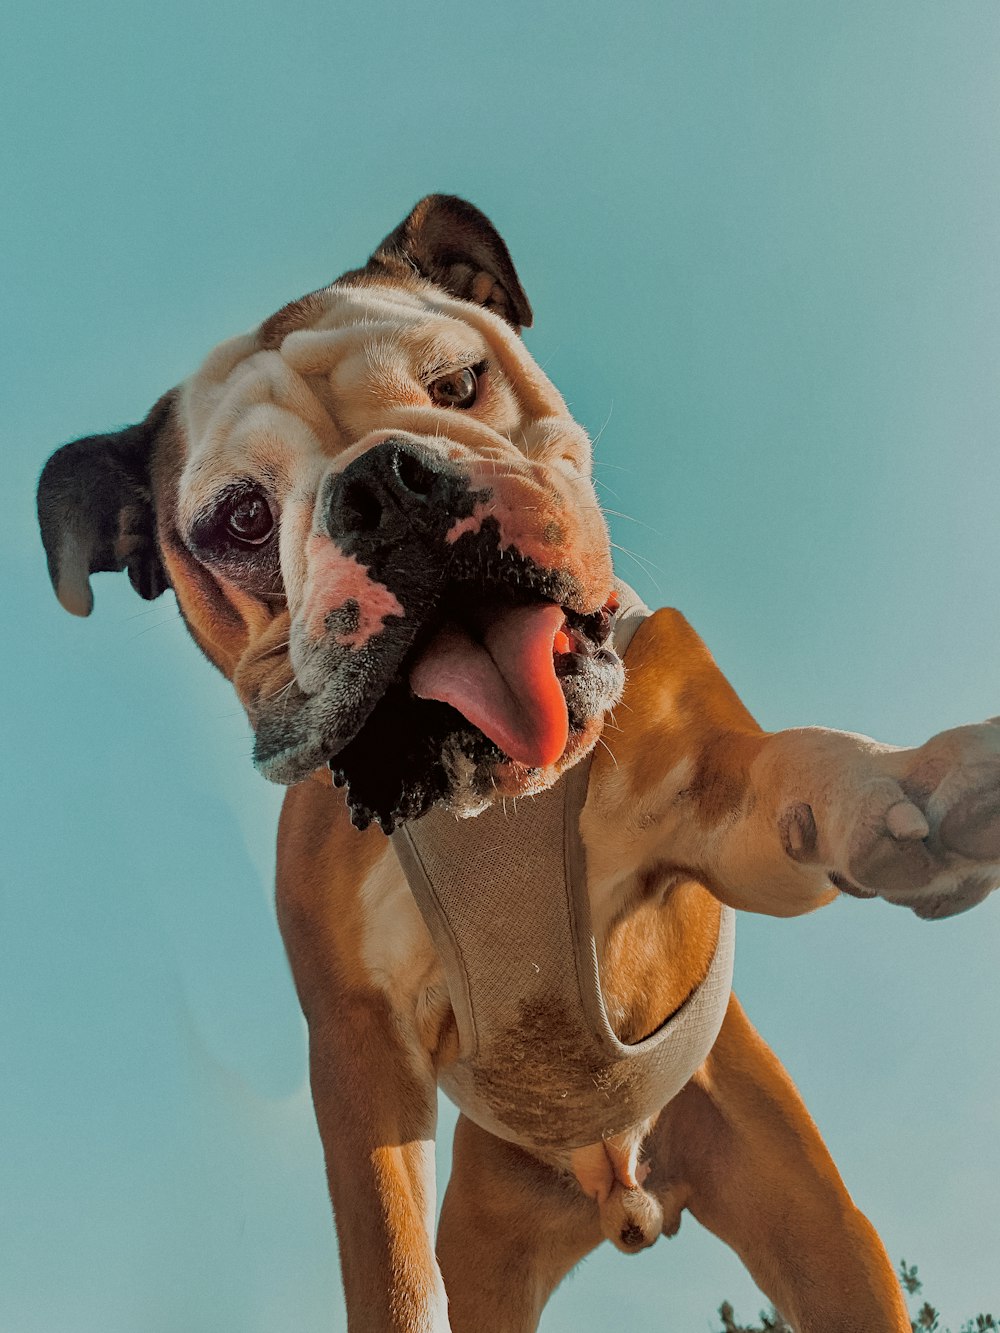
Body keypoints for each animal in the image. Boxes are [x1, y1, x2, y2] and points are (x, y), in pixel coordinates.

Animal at [37, 193, 1000, 1327]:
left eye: (458, 384)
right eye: (240, 517)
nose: (384, 480)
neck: (487, 798)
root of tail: (624, 1199)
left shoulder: (709, 808)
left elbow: (784, 768)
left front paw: (905, 782)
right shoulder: (360, 1053)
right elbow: (391, 1265)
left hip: (819, 1231)